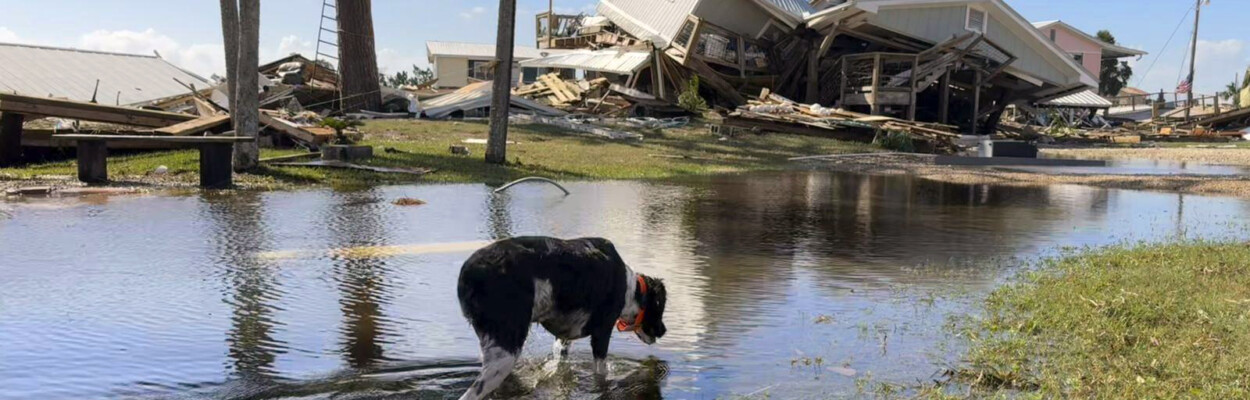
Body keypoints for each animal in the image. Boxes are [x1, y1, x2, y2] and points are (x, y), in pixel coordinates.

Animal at [457, 237, 670, 400]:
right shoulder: (602, 332)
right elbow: (600, 374)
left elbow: (561, 367)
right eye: (661, 307)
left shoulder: (563, 339)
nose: (664, 330)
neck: (630, 288)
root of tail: (469, 272)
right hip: (504, 355)